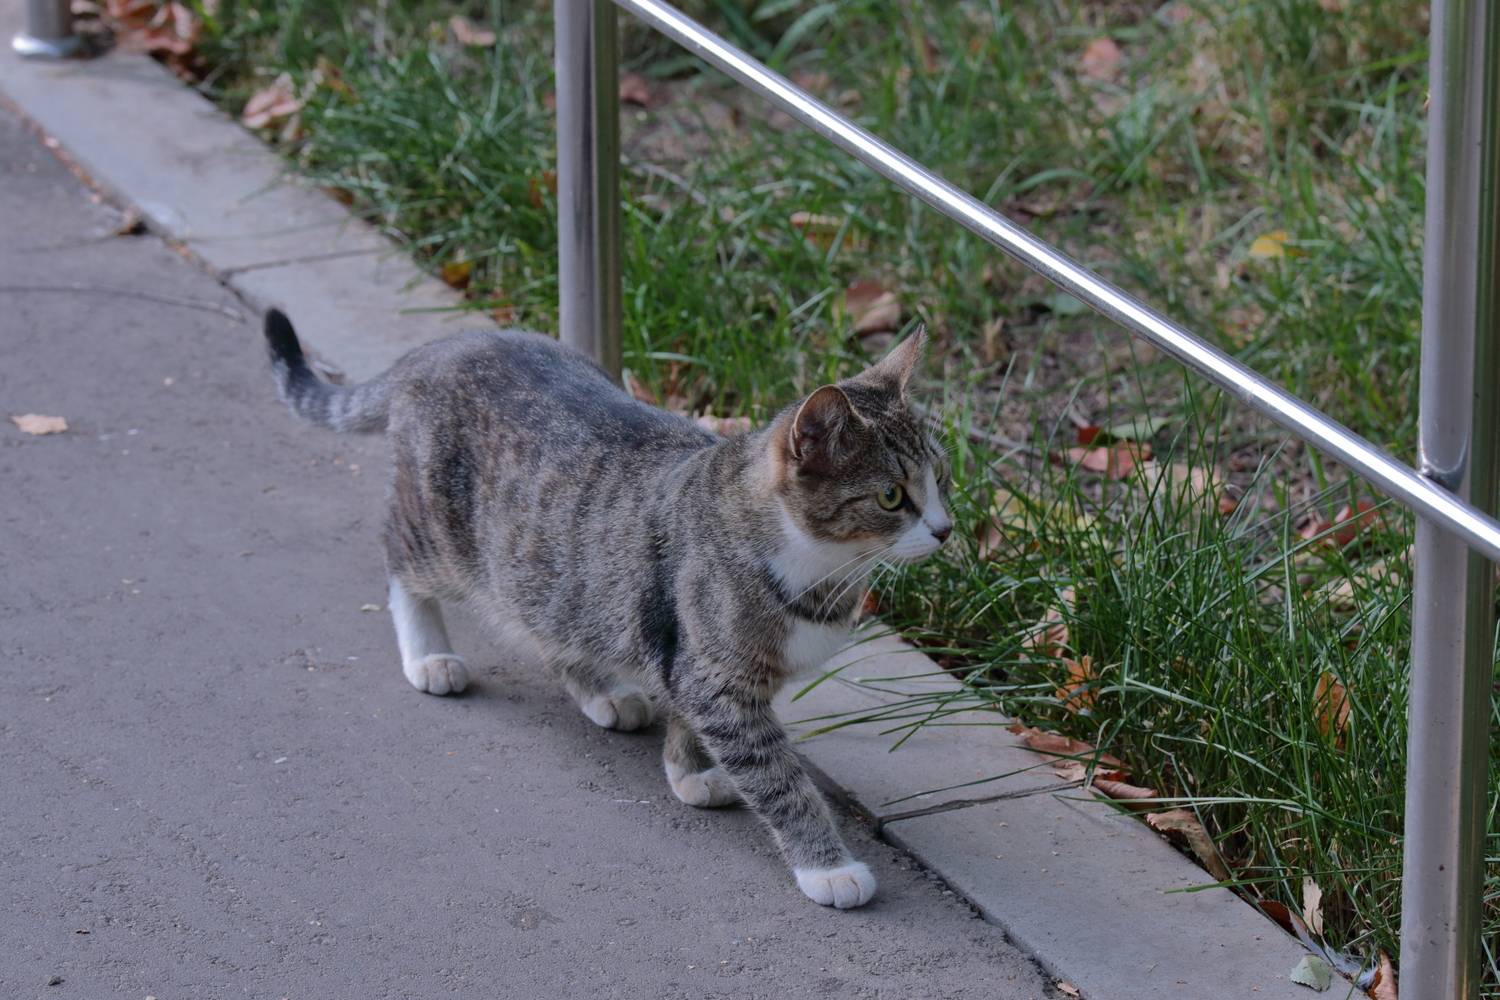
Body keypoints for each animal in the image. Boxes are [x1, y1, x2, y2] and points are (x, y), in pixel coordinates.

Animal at [264, 310, 952, 908]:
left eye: (942, 480)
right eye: (892, 497)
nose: (946, 530)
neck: (816, 568)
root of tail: (445, 345)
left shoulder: (693, 663)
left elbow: (690, 718)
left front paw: (688, 771)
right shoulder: (714, 673)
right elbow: (780, 777)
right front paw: (828, 868)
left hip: (554, 574)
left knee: (554, 623)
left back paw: (603, 692)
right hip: (441, 534)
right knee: (398, 559)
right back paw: (429, 654)